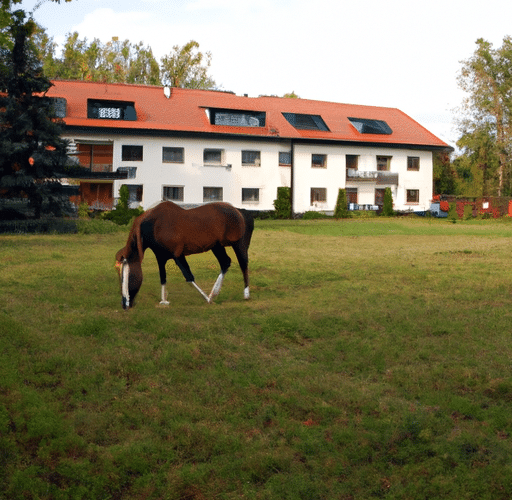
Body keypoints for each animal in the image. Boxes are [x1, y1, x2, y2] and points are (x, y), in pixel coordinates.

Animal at [114, 200, 254, 308]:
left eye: (126, 275)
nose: (124, 304)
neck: (155, 224)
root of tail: (238, 211)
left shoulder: (177, 255)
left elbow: (188, 276)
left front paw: (207, 300)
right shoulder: (161, 258)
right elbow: (163, 278)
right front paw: (164, 300)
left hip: (238, 245)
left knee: (243, 264)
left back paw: (245, 294)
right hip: (217, 247)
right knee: (225, 263)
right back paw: (214, 293)